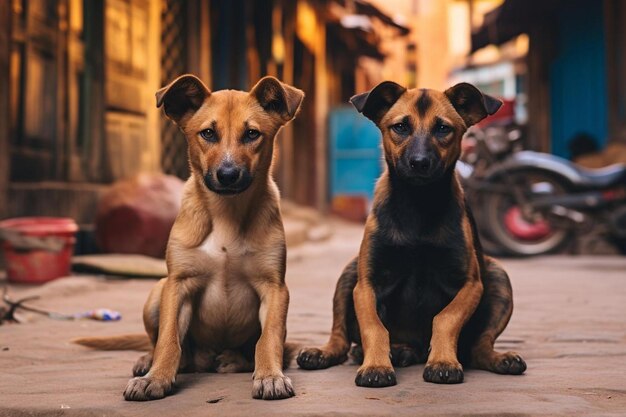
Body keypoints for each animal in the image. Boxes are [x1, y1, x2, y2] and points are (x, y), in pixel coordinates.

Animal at [74, 74, 304, 400]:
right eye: (207, 133)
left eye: (252, 134)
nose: (228, 175)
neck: (226, 213)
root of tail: (207, 357)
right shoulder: (179, 284)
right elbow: (168, 339)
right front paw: (156, 377)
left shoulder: (274, 288)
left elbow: (268, 337)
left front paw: (270, 375)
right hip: (158, 290)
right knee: (160, 342)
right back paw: (150, 361)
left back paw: (234, 359)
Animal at [294, 81, 524, 386]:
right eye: (401, 127)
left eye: (443, 128)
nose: (419, 162)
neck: (418, 203)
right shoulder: (367, 284)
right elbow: (374, 327)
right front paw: (376, 365)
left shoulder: (470, 283)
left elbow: (445, 318)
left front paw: (442, 361)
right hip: (349, 272)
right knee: (340, 337)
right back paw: (334, 352)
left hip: (499, 277)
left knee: (480, 347)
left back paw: (497, 358)